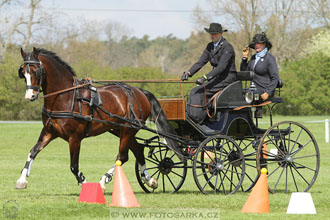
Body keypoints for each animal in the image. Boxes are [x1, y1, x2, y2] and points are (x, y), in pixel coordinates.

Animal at [16, 47, 180, 191]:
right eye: (23, 72)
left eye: (36, 71)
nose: (30, 96)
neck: (66, 97)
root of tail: (140, 91)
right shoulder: (49, 132)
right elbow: (32, 152)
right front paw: (22, 180)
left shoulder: (75, 138)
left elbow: (73, 166)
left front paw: (86, 184)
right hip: (122, 129)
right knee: (137, 151)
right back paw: (150, 180)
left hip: (128, 130)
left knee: (122, 156)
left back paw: (104, 180)